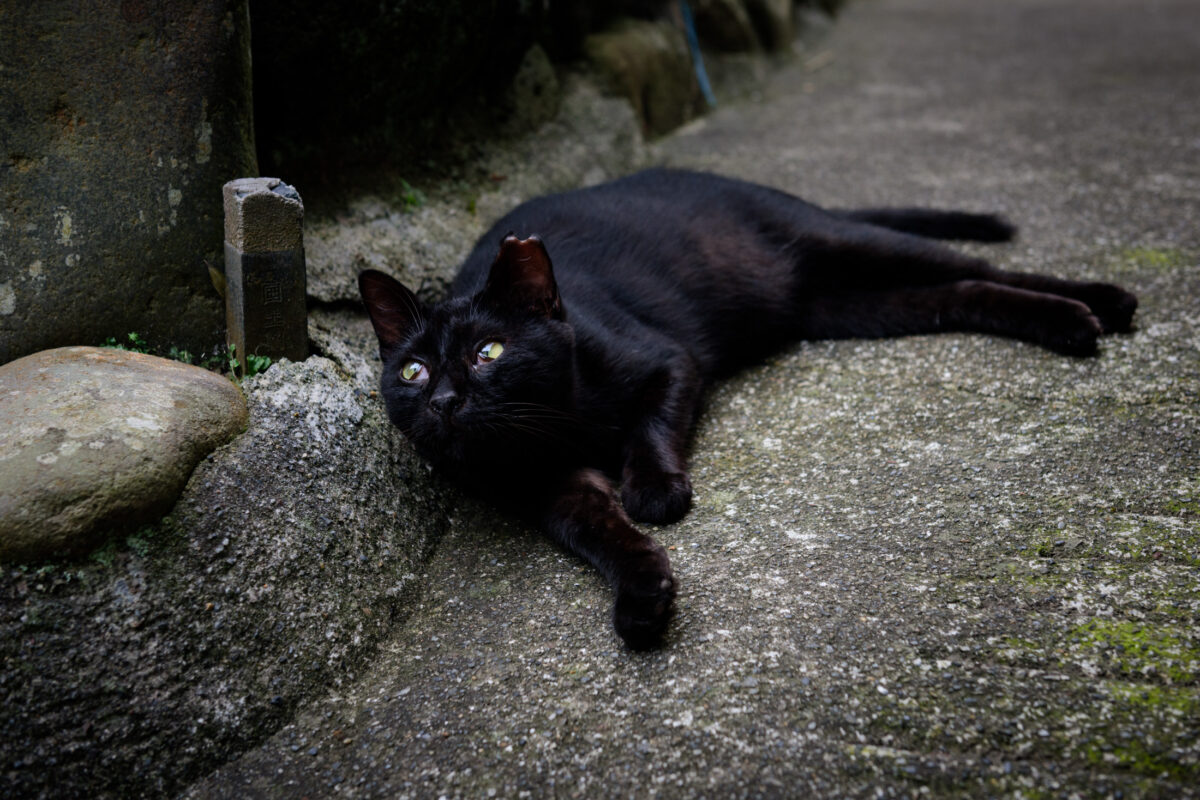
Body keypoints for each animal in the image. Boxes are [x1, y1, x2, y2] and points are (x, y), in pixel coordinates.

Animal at [355, 169, 1132, 652]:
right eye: (413, 371)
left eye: (488, 351)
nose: (443, 400)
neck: (554, 428)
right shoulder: (552, 491)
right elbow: (603, 536)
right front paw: (643, 594)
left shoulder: (669, 361)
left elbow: (650, 428)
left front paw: (655, 490)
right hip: (857, 307)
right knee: (966, 293)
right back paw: (1070, 319)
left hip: (852, 247)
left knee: (982, 267)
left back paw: (1098, 306)